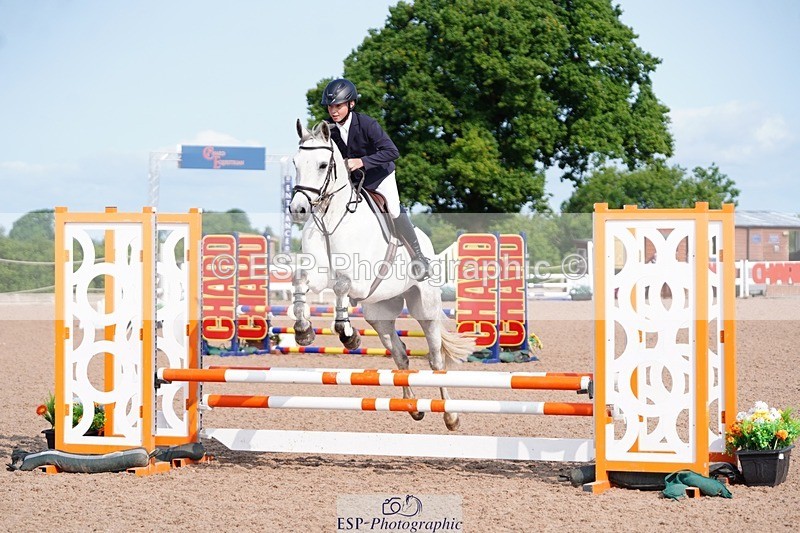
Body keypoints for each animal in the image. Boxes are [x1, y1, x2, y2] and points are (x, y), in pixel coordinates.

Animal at [288, 119, 475, 431]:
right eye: (295, 162)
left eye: (323, 164)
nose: (298, 210)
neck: (331, 217)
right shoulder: (319, 274)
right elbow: (300, 280)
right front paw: (304, 331)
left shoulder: (359, 280)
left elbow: (341, 286)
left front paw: (347, 334)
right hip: (379, 313)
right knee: (400, 355)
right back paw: (413, 407)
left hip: (424, 307)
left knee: (436, 360)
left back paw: (451, 416)